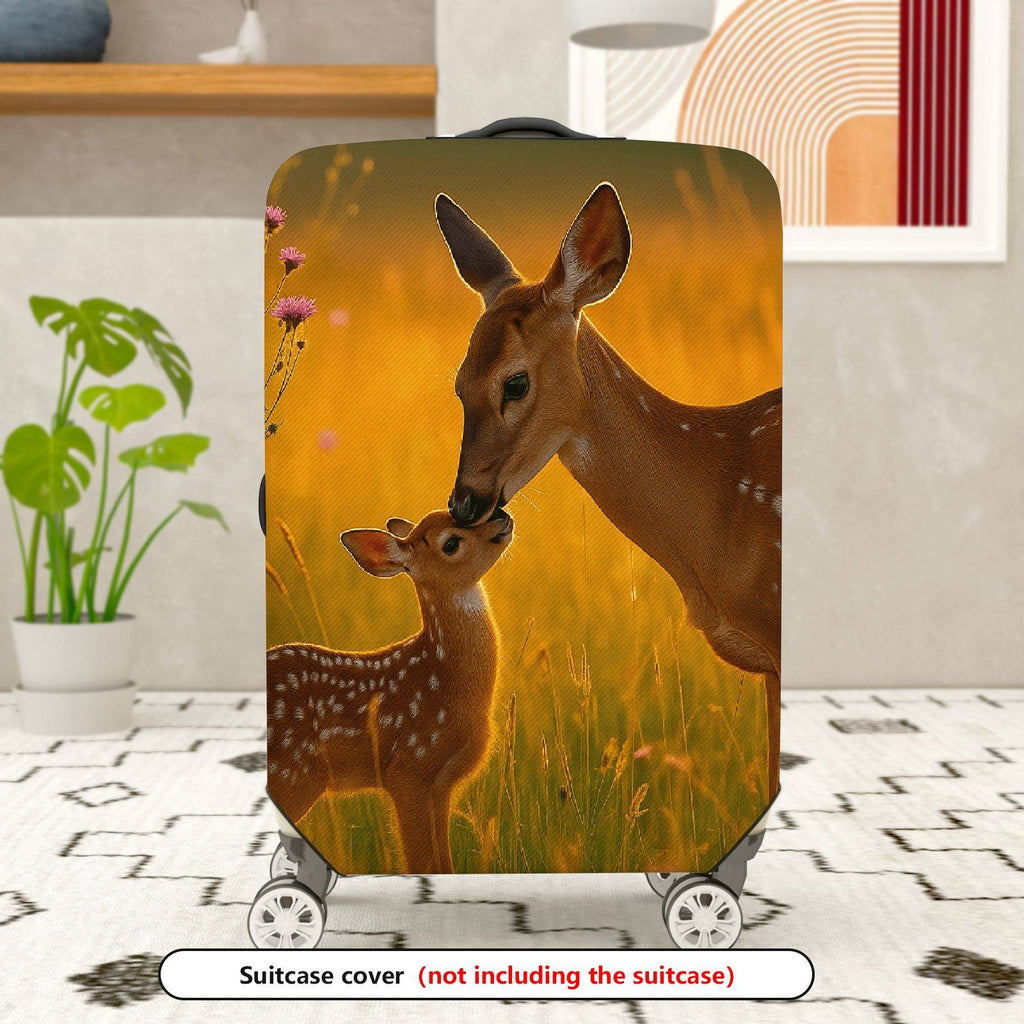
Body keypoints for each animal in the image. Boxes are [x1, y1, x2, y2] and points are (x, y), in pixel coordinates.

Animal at [266, 507, 514, 873]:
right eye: (450, 543)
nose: (503, 517)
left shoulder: (441, 786)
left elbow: (444, 862)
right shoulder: (408, 769)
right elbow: (421, 862)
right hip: (293, 773)